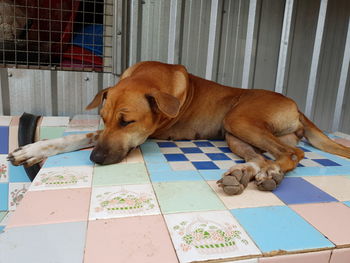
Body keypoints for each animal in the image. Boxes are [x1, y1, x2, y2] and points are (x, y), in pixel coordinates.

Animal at [6, 60, 350, 195]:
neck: (149, 77)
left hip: (239, 119)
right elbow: (79, 137)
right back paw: (246, 174)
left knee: (292, 154)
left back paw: (270, 173)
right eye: (103, 117)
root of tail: (296, 105)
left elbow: (85, 136)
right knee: (261, 157)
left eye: (127, 122)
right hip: (234, 133)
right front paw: (31, 150)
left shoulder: (144, 134)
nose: (96, 160)